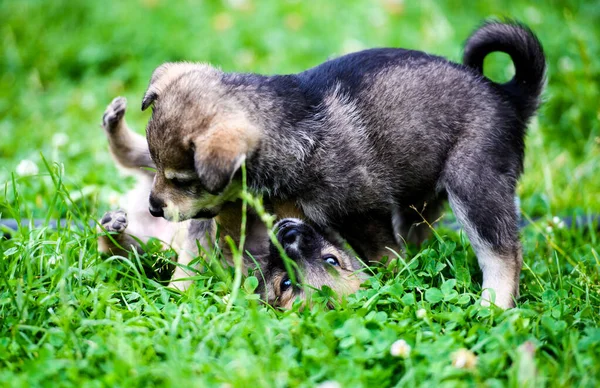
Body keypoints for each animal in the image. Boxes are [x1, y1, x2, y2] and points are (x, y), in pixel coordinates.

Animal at [96, 97, 366, 306]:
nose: (290, 234)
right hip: (156, 174)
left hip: (151, 252)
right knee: (138, 154)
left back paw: (111, 229)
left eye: (286, 284)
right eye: (331, 260)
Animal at [143, 22, 548, 310]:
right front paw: (178, 294)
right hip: (420, 198)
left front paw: (385, 288)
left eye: (183, 180)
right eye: (156, 167)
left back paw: (493, 307)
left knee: (502, 252)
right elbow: (194, 255)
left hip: (474, 185)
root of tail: (508, 96)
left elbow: (382, 259)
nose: (153, 208)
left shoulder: (364, 215)